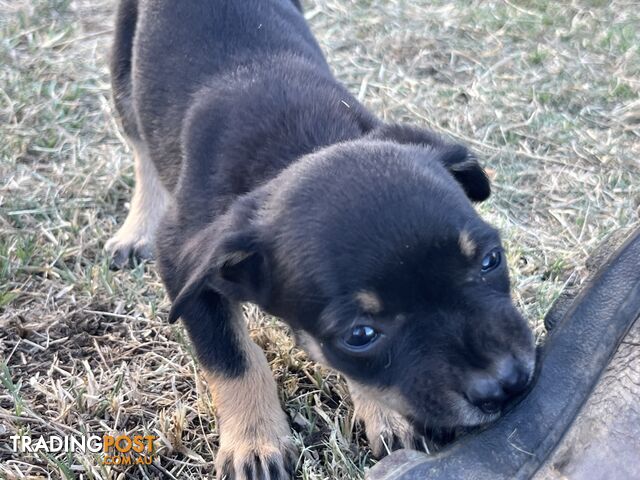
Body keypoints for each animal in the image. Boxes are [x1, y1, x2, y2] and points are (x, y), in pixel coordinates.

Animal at [107, 1, 536, 478]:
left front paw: (385, 416)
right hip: (123, 69)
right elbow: (232, 357)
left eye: (491, 260)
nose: (506, 384)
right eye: (360, 334)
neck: (297, 149)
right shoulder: (183, 266)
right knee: (138, 145)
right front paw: (255, 442)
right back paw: (136, 229)